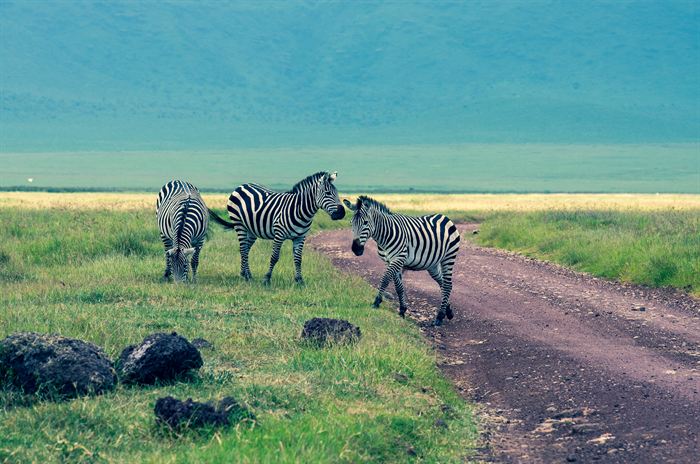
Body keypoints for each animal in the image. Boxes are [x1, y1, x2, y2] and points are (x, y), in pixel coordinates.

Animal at [208, 171, 345, 285]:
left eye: (337, 193)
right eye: (328, 193)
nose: (342, 213)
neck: (300, 210)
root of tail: (243, 185)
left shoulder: (300, 237)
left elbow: (298, 259)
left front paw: (299, 280)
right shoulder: (279, 235)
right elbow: (274, 257)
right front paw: (267, 278)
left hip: (251, 230)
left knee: (245, 249)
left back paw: (246, 274)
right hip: (239, 224)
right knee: (243, 249)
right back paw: (246, 276)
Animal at [343, 196, 461, 326]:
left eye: (365, 222)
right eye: (351, 223)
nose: (356, 249)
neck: (384, 235)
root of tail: (443, 216)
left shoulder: (398, 258)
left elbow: (385, 280)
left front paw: (376, 302)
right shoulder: (390, 261)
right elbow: (398, 287)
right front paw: (402, 310)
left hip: (449, 257)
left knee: (447, 285)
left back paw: (439, 317)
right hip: (432, 264)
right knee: (442, 283)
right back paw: (448, 311)